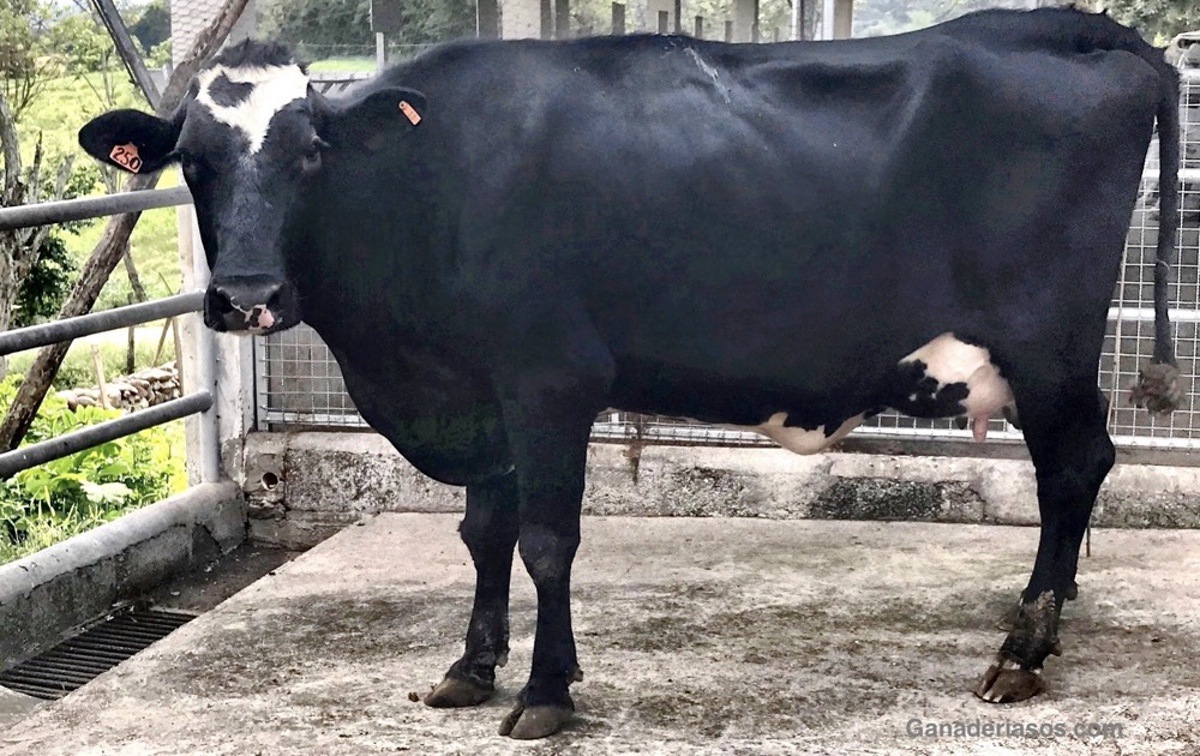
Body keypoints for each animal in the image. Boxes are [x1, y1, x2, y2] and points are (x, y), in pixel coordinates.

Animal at [79, 7, 1181, 740]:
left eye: (312, 152)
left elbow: (547, 540)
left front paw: (544, 693)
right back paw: (1054, 612)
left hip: (1046, 344)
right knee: (1080, 471)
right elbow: (483, 534)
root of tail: (1064, 25)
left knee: (1076, 466)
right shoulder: (480, 396)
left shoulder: (548, 380)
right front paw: (474, 666)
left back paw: (1024, 646)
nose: (248, 295)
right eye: (193, 162)